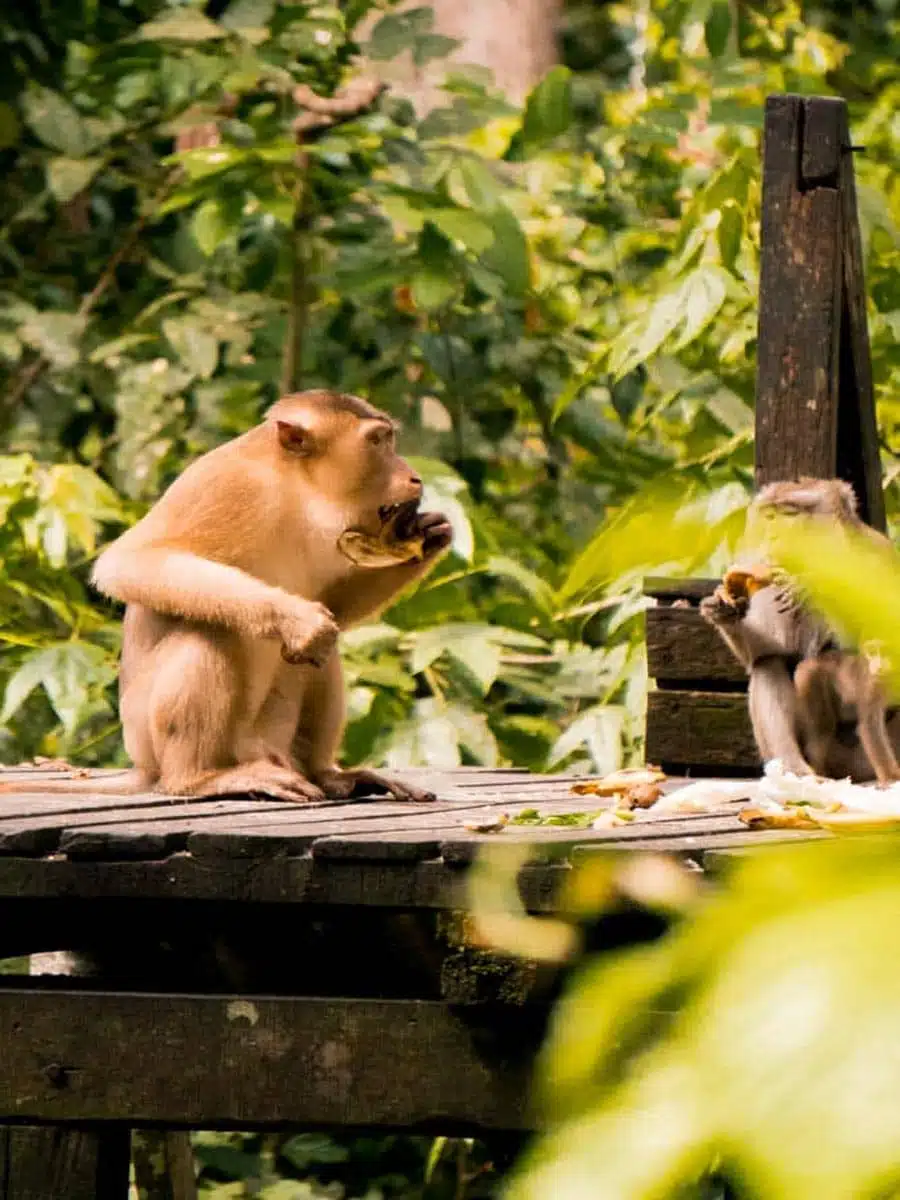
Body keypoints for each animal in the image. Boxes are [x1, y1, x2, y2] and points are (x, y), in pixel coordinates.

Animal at [0, 393, 451, 806]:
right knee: (209, 631)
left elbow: (336, 607)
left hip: (273, 738)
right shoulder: (224, 485)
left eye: (388, 439)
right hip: (153, 735)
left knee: (319, 658)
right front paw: (295, 618)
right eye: (377, 442)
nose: (415, 478)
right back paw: (199, 778)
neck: (296, 489)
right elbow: (129, 563)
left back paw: (328, 776)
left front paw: (430, 535)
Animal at [705, 477, 900, 787]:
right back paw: (795, 770)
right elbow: (766, 651)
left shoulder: (876, 557)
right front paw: (723, 609)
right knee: (769, 665)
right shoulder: (765, 569)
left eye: (790, 513)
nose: (773, 536)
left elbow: (878, 640)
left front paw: (813, 584)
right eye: (770, 516)